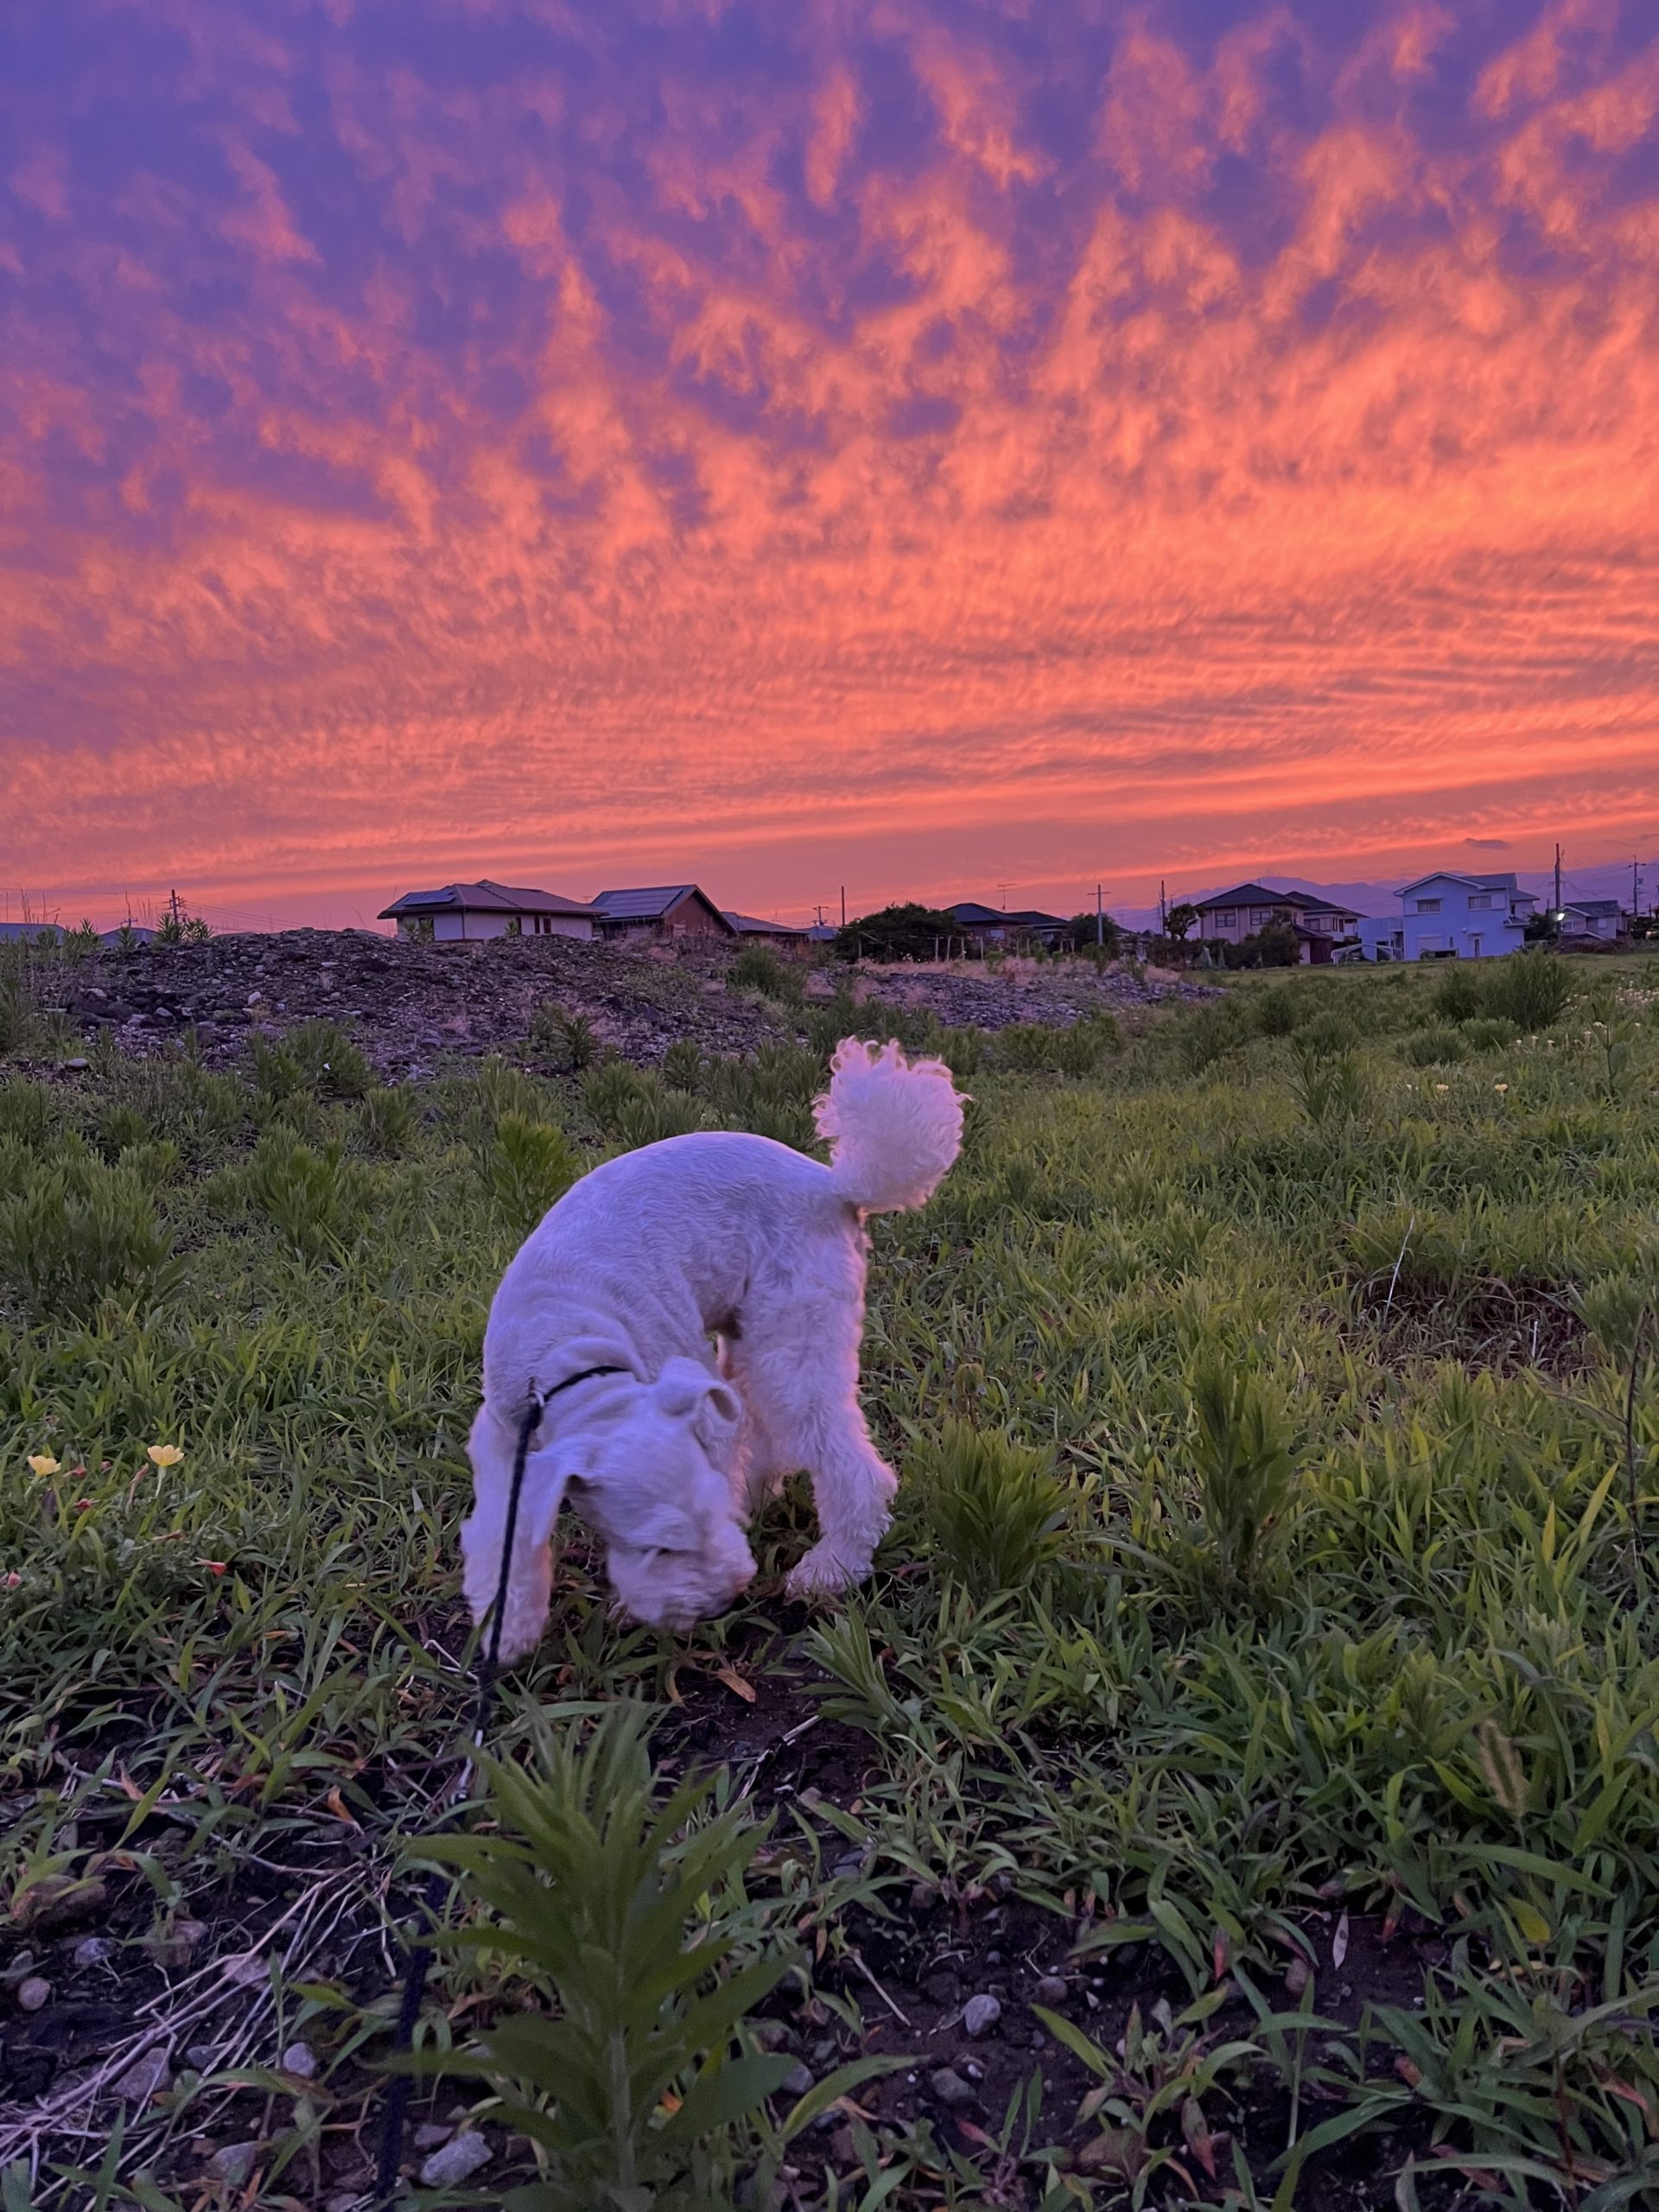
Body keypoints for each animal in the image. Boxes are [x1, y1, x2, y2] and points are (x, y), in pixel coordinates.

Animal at [462, 1039, 969, 1663]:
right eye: (657, 1548)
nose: (725, 1598)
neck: (569, 1348)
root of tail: (831, 1184)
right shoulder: (503, 1443)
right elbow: (501, 1543)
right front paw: (505, 1633)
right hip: (752, 1335)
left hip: (792, 1338)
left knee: (847, 1463)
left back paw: (829, 1568)